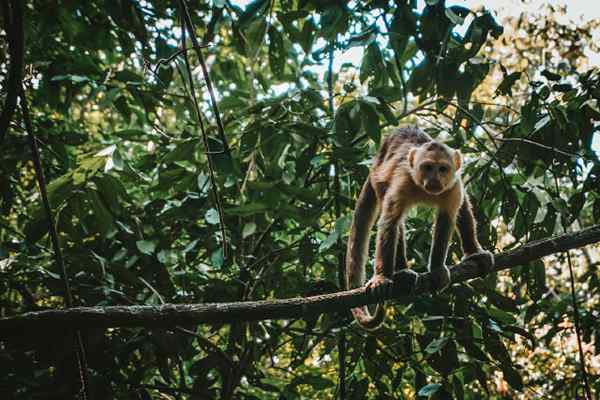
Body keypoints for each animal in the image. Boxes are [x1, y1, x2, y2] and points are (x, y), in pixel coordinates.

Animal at [344, 127, 494, 332]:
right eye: (427, 167)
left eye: (442, 169)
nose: (434, 180)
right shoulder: (404, 180)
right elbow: (390, 221)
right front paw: (381, 277)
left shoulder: (453, 185)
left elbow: (447, 218)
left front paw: (437, 269)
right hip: (378, 178)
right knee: (394, 220)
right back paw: (401, 272)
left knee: (462, 207)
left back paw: (474, 252)